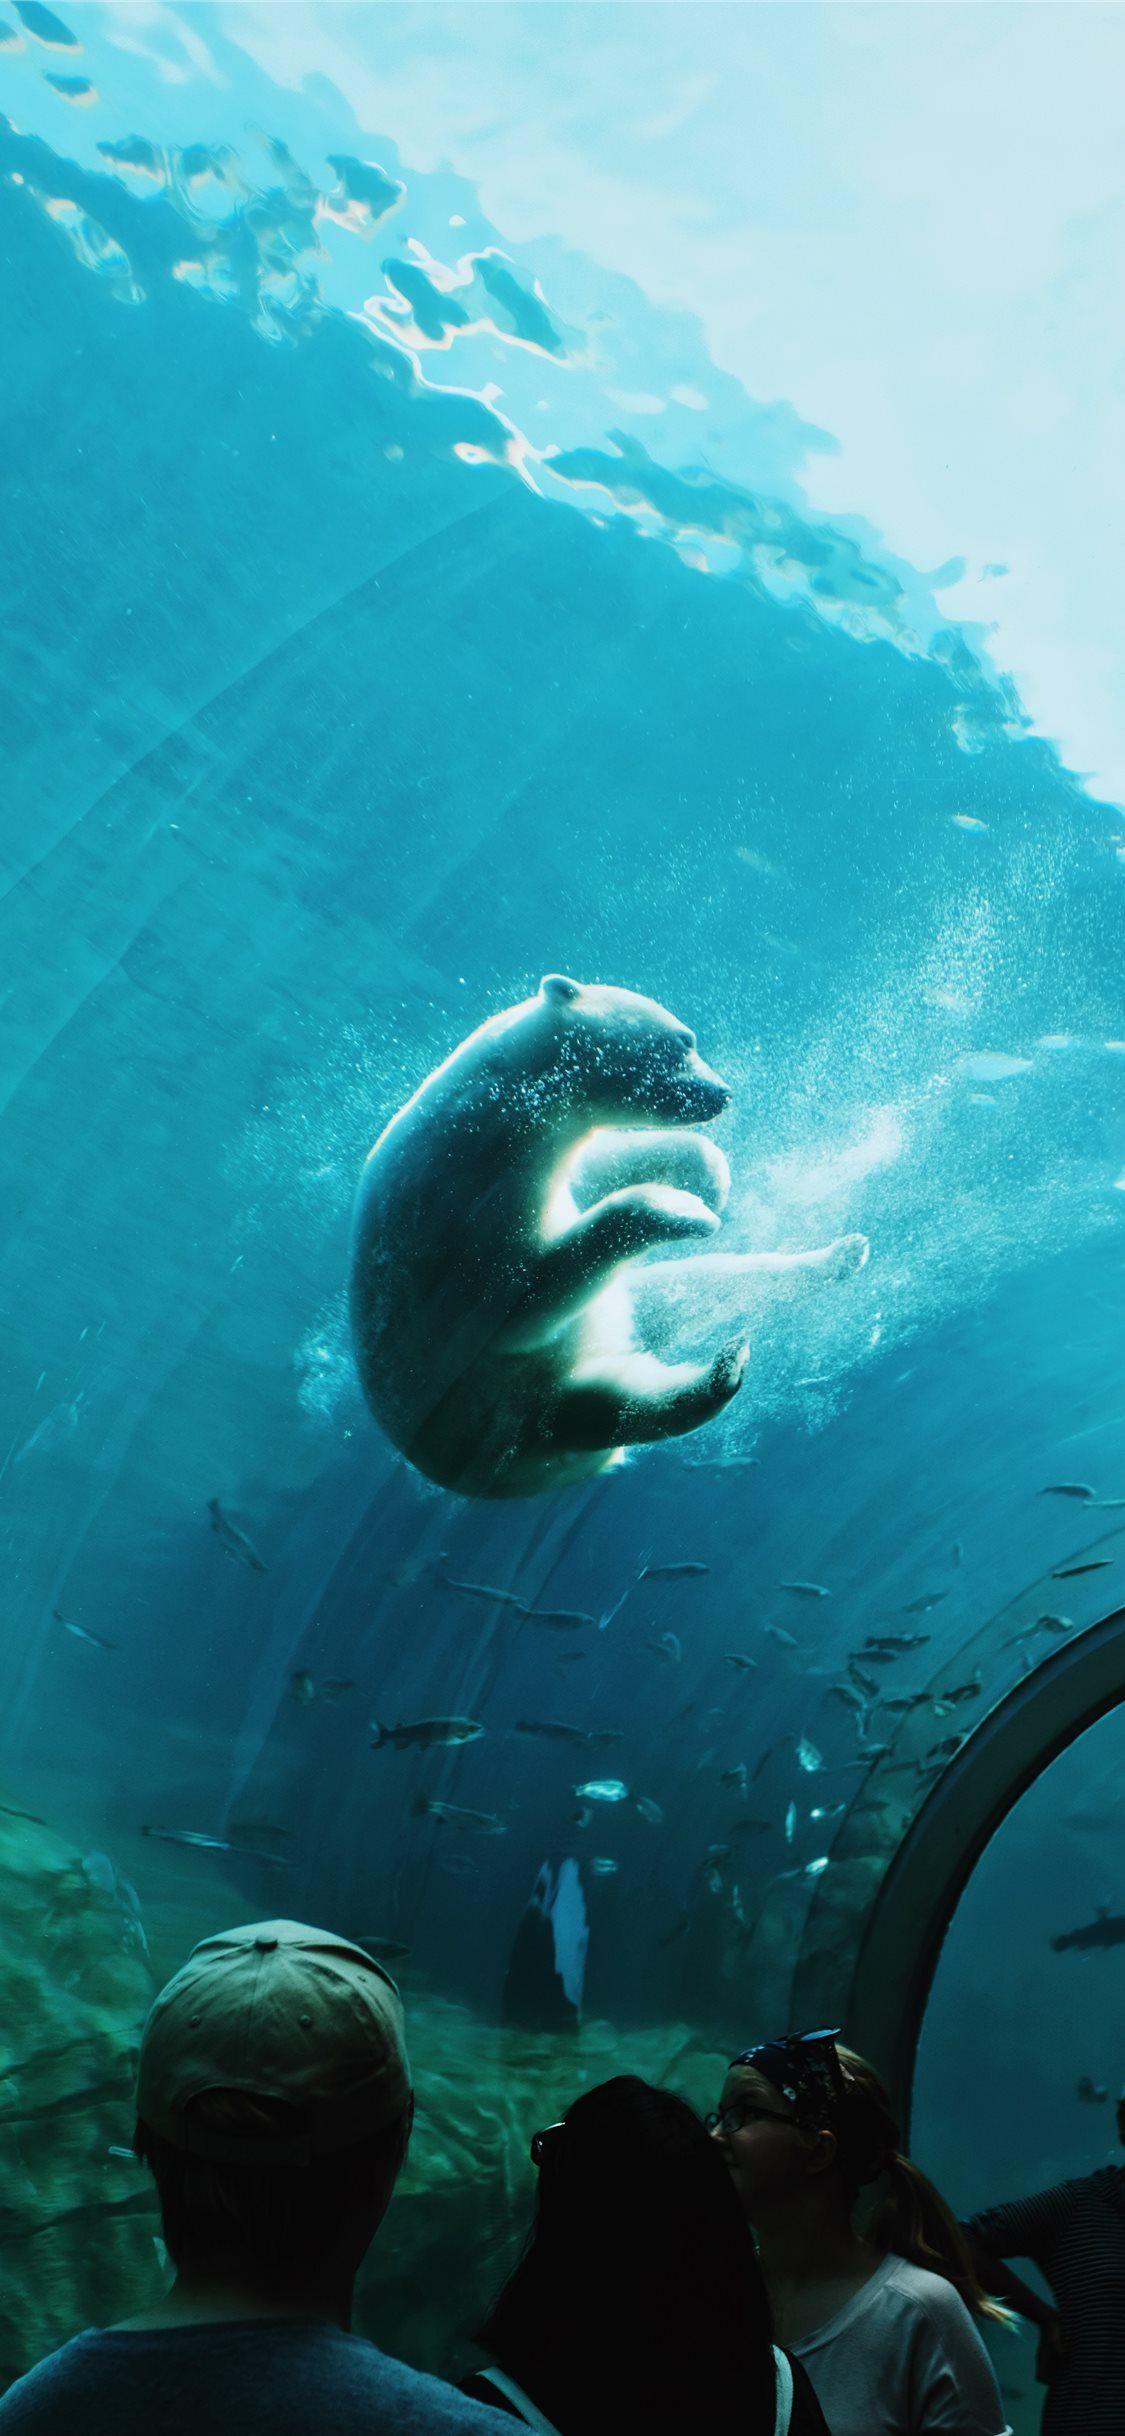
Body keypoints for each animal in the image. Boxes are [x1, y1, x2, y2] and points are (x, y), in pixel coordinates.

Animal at [348, 975, 868, 1499]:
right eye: (686, 1039)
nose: (723, 1092)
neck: (498, 1110)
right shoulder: (463, 1218)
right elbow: (525, 1304)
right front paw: (683, 1209)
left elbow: (601, 1167)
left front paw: (708, 1180)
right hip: (509, 1420)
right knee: (611, 1407)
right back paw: (720, 1373)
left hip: (611, 1325)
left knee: (696, 1294)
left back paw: (834, 1262)